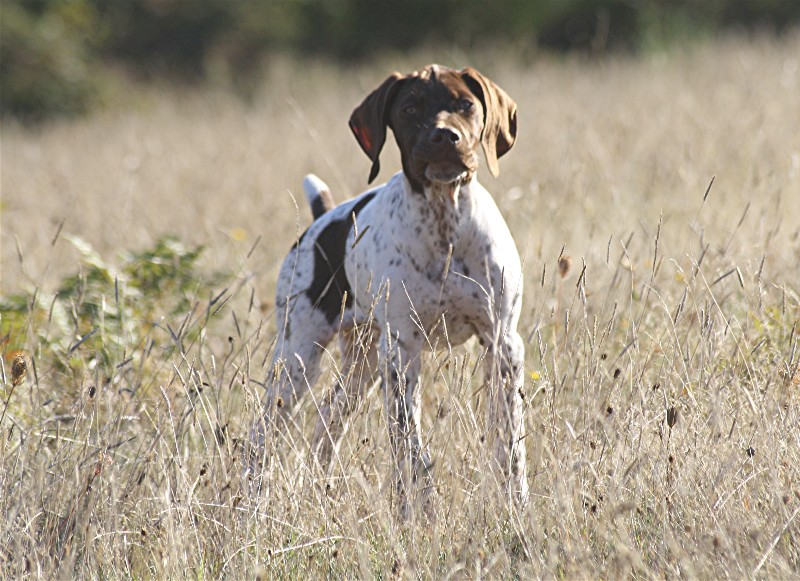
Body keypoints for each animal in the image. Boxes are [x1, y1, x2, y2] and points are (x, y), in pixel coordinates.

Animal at [247, 63, 528, 516]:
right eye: (410, 108)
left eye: (465, 105)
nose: (445, 136)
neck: (444, 223)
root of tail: (322, 219)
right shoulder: (401, 351)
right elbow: (410, 446)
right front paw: (418, 511)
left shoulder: (502, 341)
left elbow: (509, 444)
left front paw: (515, 504)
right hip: (299, 358)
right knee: (262, 434)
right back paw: (253, 502)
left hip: (361, 362)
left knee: (326, 422)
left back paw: (319, 487)